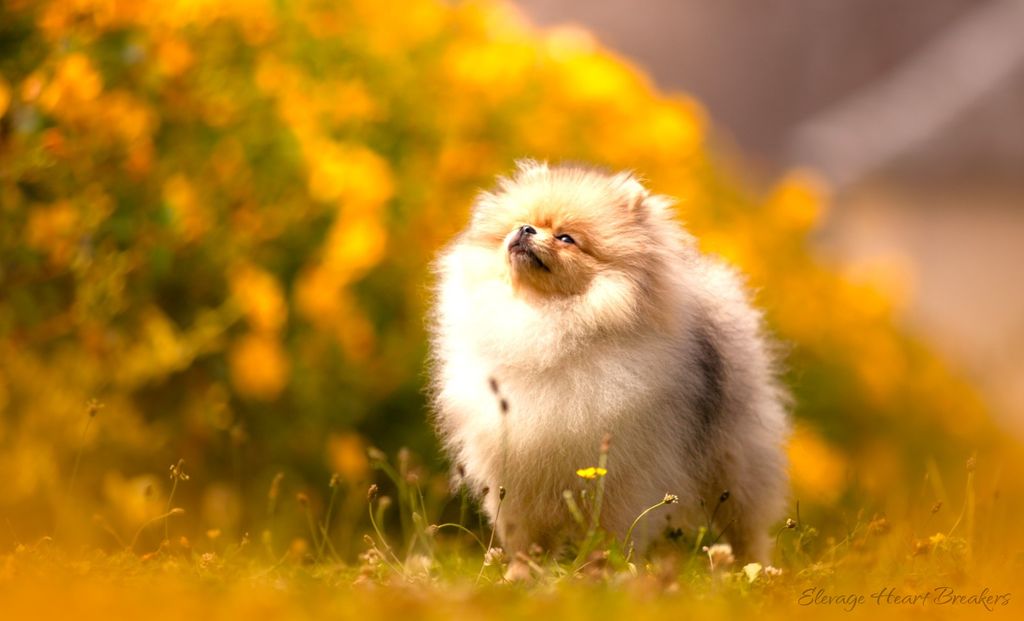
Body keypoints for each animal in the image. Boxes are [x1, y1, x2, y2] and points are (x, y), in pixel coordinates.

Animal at [428, 161, 786, 573]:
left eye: (566, 238)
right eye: (522, 222)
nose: (526, 230)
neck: (546, 320)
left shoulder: (620, 474)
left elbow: (609, 530)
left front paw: (600, 572)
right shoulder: (516, 472)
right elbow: (524, 536)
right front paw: (521, 574)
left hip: (732, 460)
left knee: (745, 522)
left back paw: (755, 568)